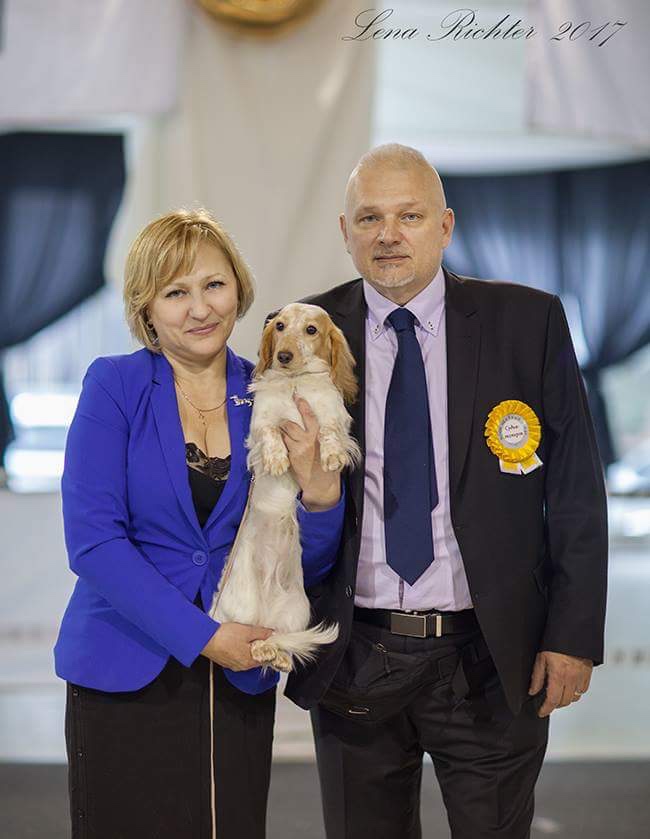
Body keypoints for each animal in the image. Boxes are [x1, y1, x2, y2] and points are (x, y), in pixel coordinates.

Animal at [210, 303, 360, 672]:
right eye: (279, 326)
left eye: (311, 330)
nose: (284, 355)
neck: (295, 385)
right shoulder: (262, 421)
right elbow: (270, 433)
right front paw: (277, 459)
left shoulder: (332, 415)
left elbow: (330, 431)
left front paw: (332, 454)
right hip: (241, 602)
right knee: (253, 638)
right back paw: (263, 649)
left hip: (297, 612)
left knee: (277, 639)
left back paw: (277, 655)